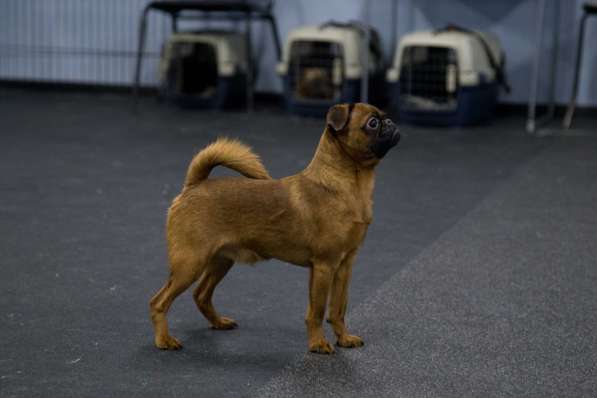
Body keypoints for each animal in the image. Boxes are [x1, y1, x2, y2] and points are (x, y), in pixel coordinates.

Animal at [149, 102, 400, 354]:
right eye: (372, 123)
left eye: (384, 117)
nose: (390, 122)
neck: (348, 186)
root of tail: (194, 186)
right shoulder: (324, 266)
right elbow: (317, 312)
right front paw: (318, 343)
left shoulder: (344, 266)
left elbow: (338, 309)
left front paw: (344, 338)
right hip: (190, 264)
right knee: (159, 301)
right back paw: (164, 340)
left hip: (220, 261)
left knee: (201, 295)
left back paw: (218, 323)